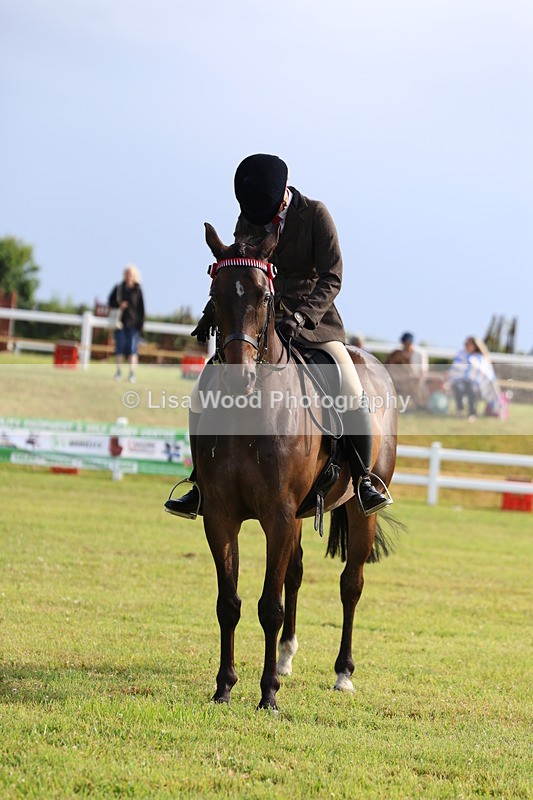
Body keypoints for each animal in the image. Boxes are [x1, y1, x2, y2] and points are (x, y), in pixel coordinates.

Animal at [195, 222, 399, 710]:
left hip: (359, 509)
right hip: (302, 513)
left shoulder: (278, 515)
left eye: (265, 295)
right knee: (297, 574)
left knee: (351, 583)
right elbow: (228, 602)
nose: (238, 377)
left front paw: (267, 693)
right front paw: (224, 686)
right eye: (215, 292)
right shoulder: (221, 516)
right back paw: (287, 657)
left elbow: (269, 606)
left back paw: (342, 673)